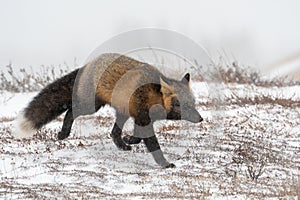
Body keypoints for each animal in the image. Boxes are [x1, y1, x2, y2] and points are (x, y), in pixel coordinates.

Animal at [12, 53, 203, 169]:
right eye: (184, 106)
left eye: (193, 103)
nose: (200, 118)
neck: (152, 96)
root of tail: (88, 64)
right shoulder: (142, 118)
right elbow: (153, 144)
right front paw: (164, 164)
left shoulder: (140, 117)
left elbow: (137, 136)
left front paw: (130, 140)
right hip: (91, 106)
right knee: (71, 111)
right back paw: (64, 133)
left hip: (121, 111)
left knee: (113, 133)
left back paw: (122, 145)